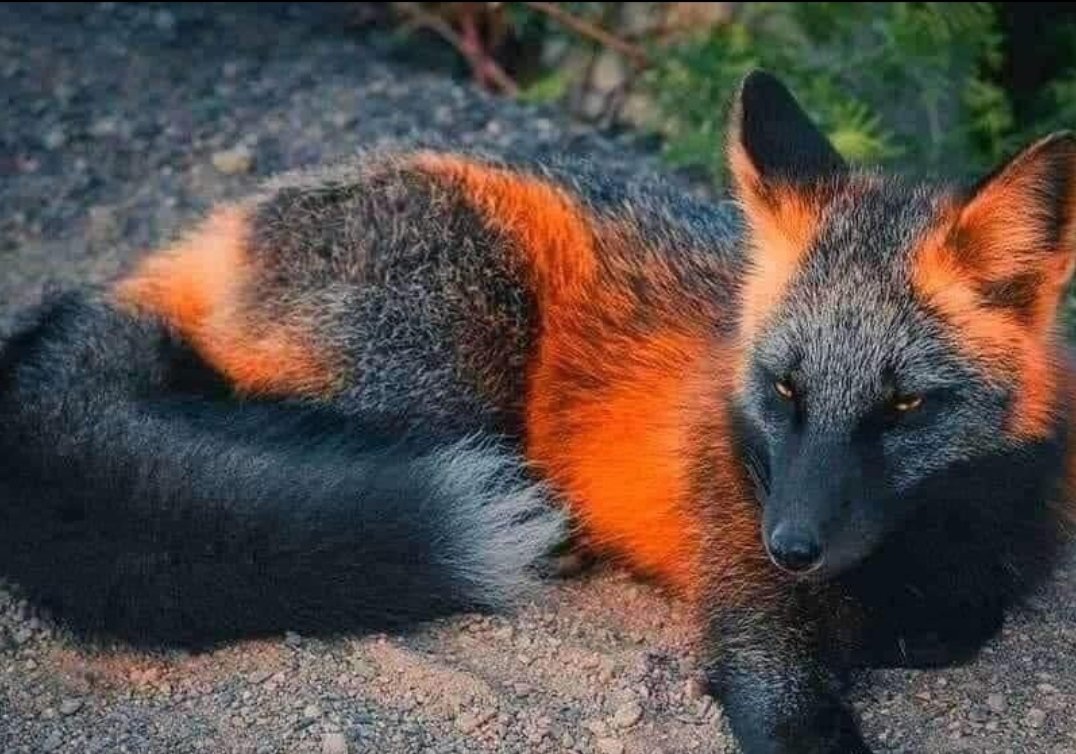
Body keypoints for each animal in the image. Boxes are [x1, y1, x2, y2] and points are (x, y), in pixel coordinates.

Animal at [1, 70, 1074, 753]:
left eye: (904, 406)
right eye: (783, 390)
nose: (793, 546)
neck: (916, 548)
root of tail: (222, 226)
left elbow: (965, 618)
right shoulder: (750, 614)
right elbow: (792, 699)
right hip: (458, 345)